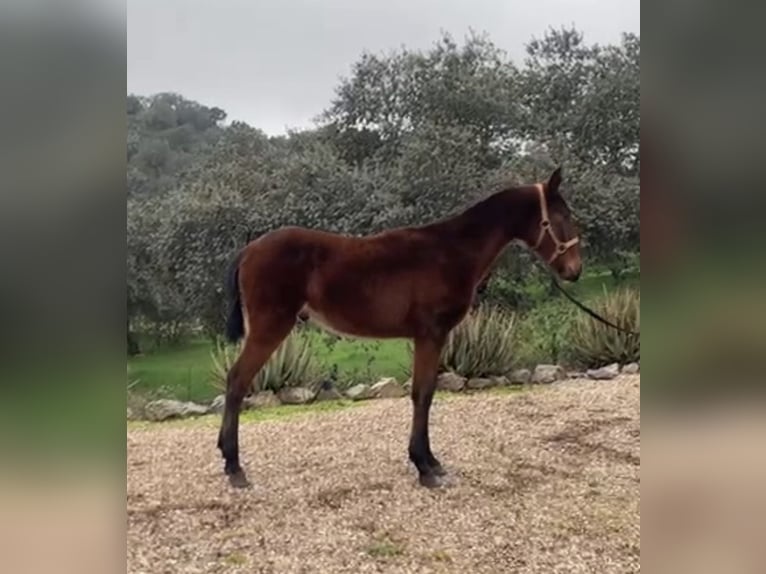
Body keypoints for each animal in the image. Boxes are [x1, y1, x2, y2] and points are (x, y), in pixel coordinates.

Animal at [217, 166, 582, 489]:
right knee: (237, 381)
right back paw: (235, 467)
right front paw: (424, 467)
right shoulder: (430, 335)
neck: (450, 252)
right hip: (270, 327)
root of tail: (249, 250)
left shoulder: (433, 337)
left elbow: (427, 392)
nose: (575, 271)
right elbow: (423, 394)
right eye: (562, 217)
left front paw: (432, 461)